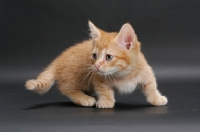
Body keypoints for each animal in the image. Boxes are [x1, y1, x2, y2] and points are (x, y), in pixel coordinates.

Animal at [25, 20, 168, 108]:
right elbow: (103, 89)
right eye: (94, 56)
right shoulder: (97, 77)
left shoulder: (146, 71)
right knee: (67, 89)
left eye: (109, 57)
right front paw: (106, 101)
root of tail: (57, 60)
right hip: (72, 76)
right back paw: (84, 98)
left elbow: (151, 86)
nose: (96, 66)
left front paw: (157, 98)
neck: (123, 73)